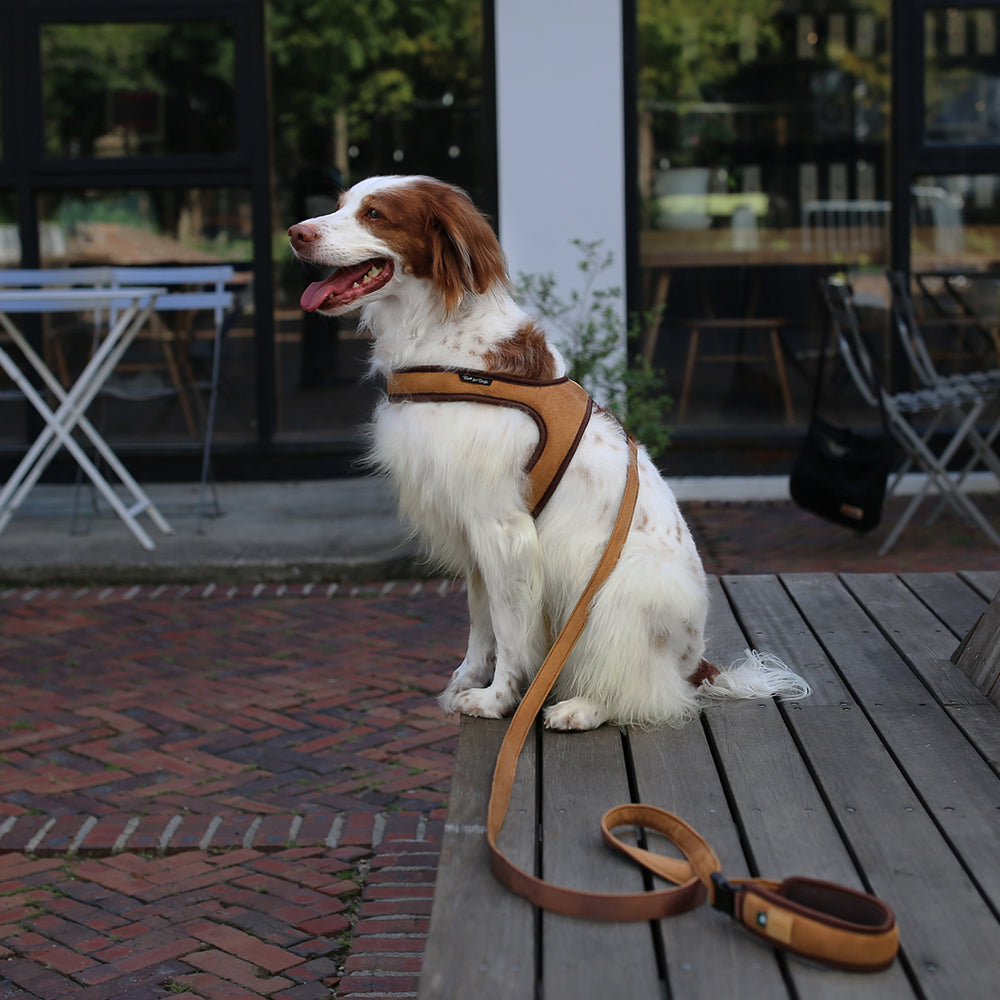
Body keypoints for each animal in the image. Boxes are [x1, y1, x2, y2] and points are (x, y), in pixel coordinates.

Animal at [288, 176, 804, 732]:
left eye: (375, 214)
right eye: (339, 204)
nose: (295, 233)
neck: (445, 340)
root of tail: (698, 664)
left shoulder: (504, 529)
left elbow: (510, 628)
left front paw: (497, 699)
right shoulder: (473, 530)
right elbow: (481, 620)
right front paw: (469, 679)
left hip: (615, 588)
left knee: (650, 689)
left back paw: (583, 707)